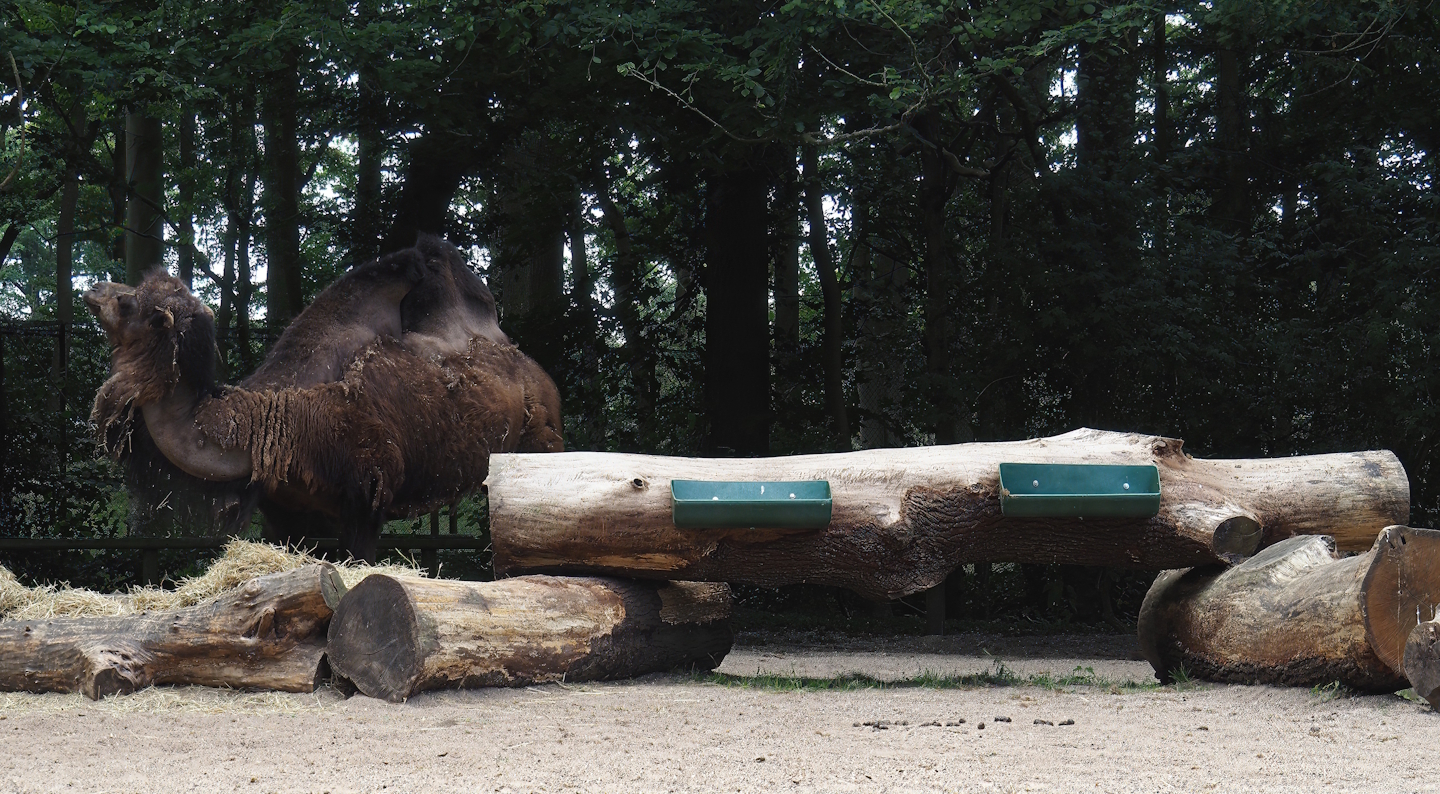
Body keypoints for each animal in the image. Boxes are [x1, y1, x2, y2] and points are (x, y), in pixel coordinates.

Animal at [86, 241, 563, 561]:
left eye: (129, 303)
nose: (92, 286)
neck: (277, 422)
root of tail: (540, 376)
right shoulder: (285, 513)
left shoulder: (369, 497)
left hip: (541, 440)